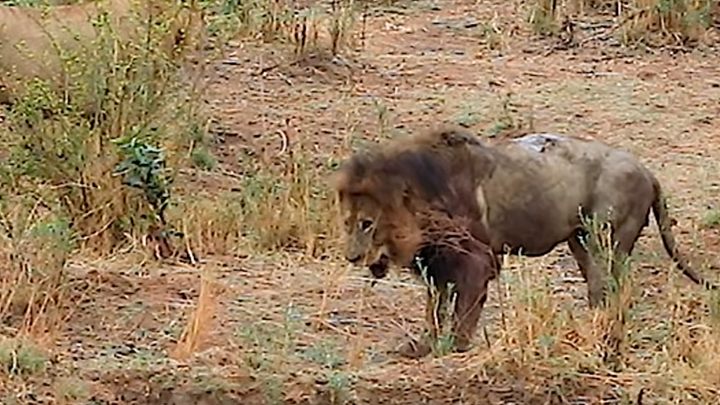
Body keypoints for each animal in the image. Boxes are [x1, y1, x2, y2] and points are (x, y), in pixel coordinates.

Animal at [334, 124, 716, 356]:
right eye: (347, 223)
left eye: (368, 224)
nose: (351, 257)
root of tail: (648, 172)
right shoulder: (436, 265)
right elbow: (435, 310)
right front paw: (424, 345)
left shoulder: (475, 260)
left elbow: (463, 310)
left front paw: (456, 346)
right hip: (580, 241)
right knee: (599, 288)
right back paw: (593, 328)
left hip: (607, 237)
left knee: (617, 288)